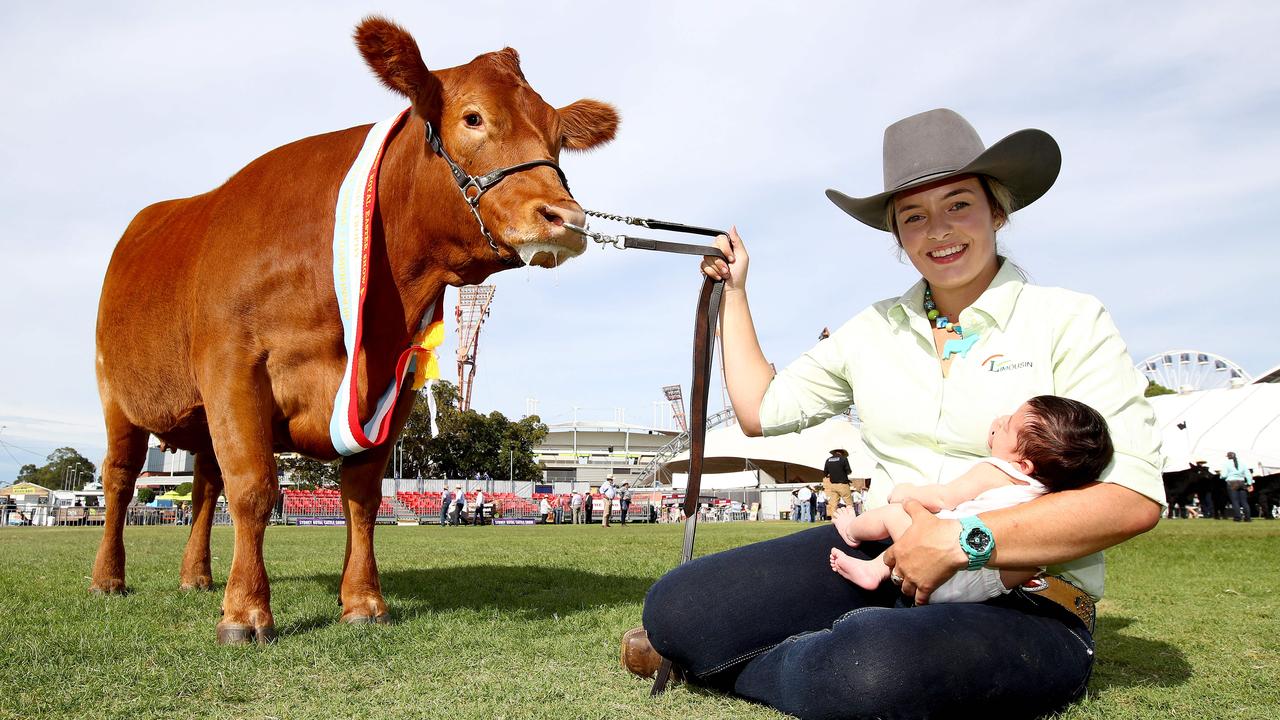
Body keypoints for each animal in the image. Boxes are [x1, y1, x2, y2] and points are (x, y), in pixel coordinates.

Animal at [87, 16, 616, 640]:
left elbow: (361, 497)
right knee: (121, 480)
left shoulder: (394, 384)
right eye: (473, 117)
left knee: (203, 488)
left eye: (558, 135)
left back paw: (197, 578)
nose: (566, 219)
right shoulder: (233, 368)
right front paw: (246, 613)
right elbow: (255, 487)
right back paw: (109, 579)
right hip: (117, 395)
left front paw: (362, 601)